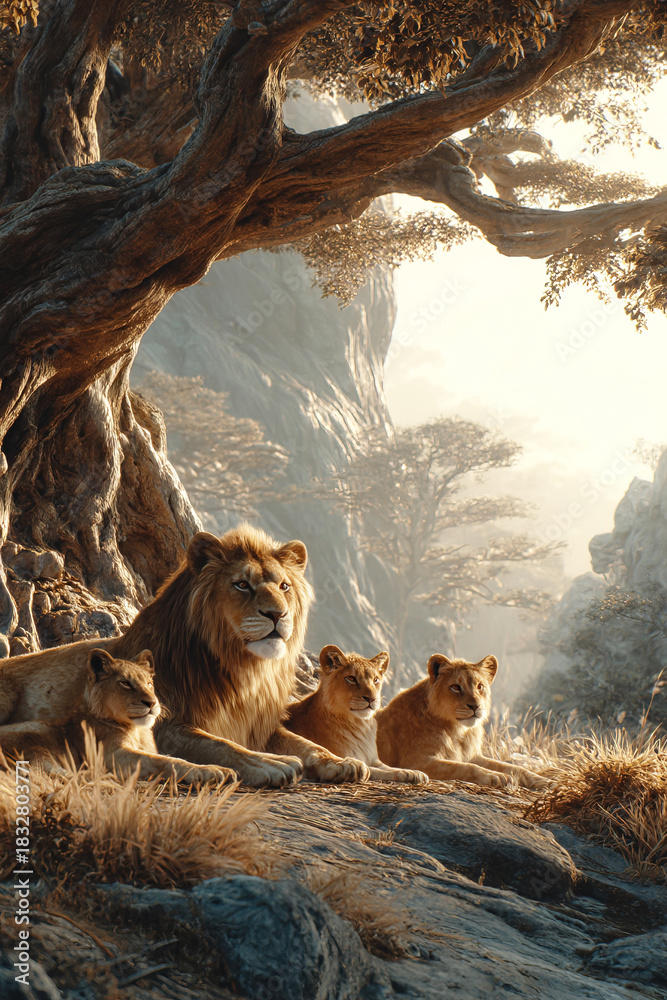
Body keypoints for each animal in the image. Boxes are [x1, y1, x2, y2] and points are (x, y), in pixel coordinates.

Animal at [0, 648, 236, 785]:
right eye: (125, 683)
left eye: (149, 683)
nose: (152, 703)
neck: (137, 730)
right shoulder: (109, 755)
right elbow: (165, 761)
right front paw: (211, 771)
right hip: (35, 744)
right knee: (50, 774)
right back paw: (103, 778)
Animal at [285, 644, 428, 784]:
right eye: (351, 678)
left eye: (375, 680)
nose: (371, 699)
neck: (360, 725)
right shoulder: (348, 756)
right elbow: (377, 771)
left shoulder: (374, 759)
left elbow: (391, 768)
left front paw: (414, 773)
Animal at [376, 653, 548, 789]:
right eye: (456, 687)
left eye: (480, 686)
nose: (475, 706)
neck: (458, 732)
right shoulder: (417, 762)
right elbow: (467, 768)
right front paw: (497, 776)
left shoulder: (473, 755)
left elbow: (513, 767)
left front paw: (546, 781)